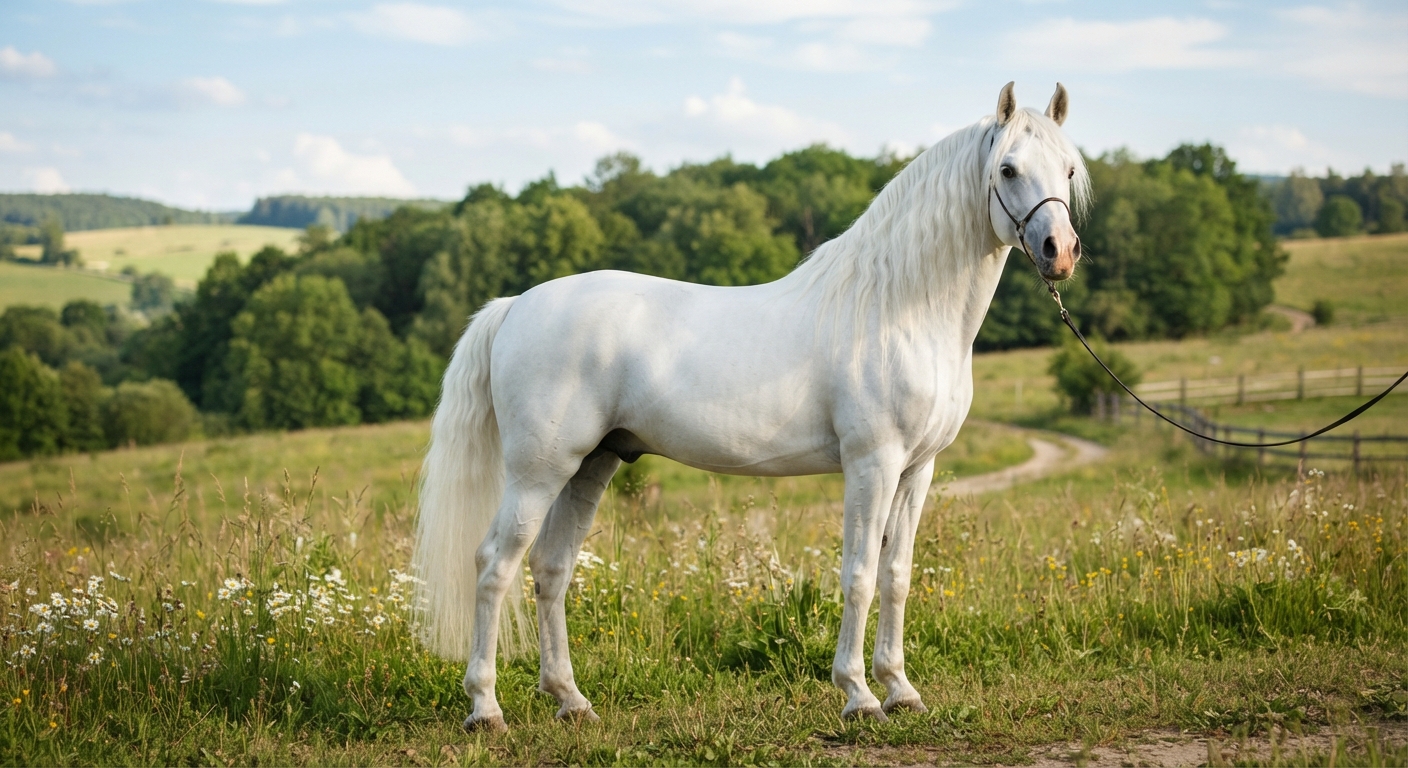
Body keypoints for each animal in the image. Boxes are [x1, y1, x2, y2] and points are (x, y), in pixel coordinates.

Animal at [414, 81, 1089, 731]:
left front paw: (901, 690)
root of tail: (514, 306)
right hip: (538, 472)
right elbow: (858, 574)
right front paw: (858, 695)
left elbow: (896, 576)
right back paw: (486, 709)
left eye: (1069, 169)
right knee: (495, 565)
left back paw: (571, 701)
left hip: (590, 466)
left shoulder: (917, 468)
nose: (1058, 250)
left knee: (551, 569)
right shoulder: (871, 464)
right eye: (1007, 169)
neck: (897, 308)